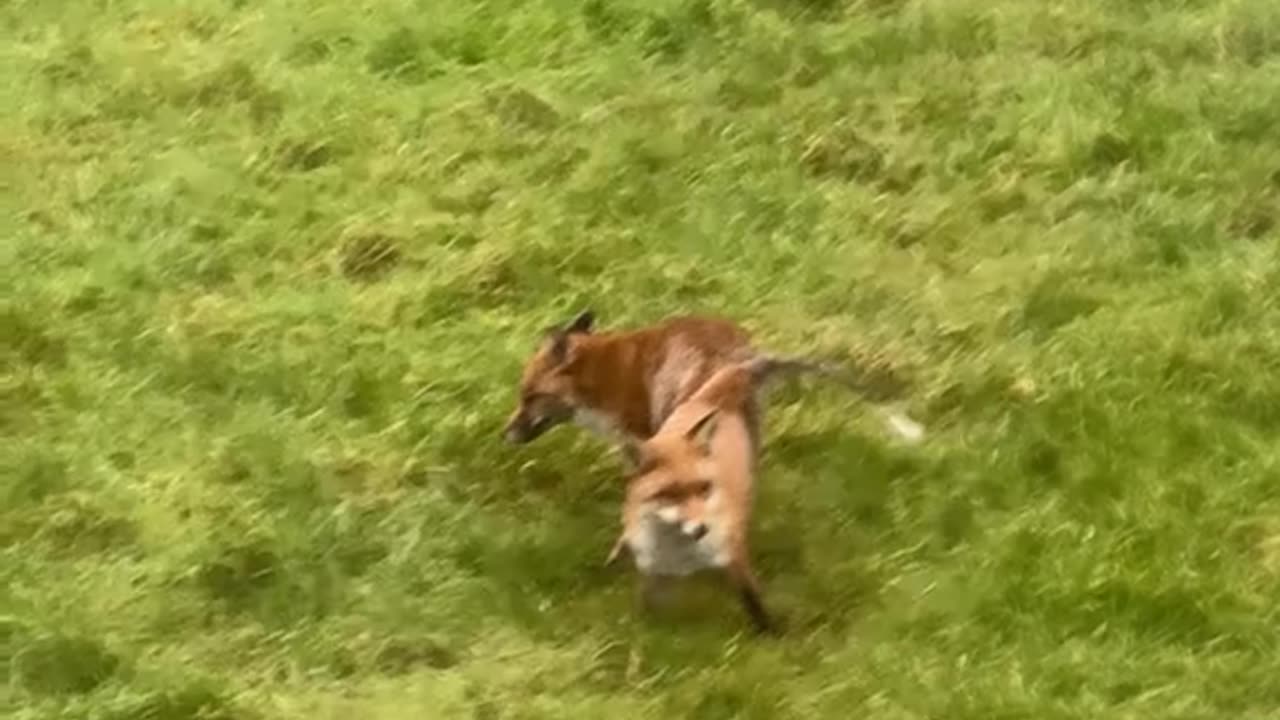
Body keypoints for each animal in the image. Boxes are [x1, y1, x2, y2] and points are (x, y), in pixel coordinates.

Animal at [604, 356, 869, 635]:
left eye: (704, 487)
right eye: (670, 493)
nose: (702, 529)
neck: (679, 554)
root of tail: (722, 389)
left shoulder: (733, 557)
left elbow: (753, 600)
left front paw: (772, 634)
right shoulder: (653, 571)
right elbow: (645, 614)